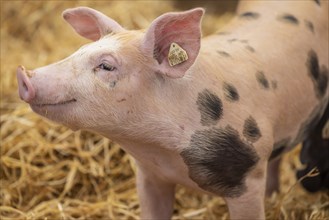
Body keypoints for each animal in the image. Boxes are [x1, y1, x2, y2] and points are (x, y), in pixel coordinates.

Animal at [16, 0, 328, 219]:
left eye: (106, 65)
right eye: (78, 52)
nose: (24, 74)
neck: (165, 153)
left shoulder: (246, 177)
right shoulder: (150, 176)